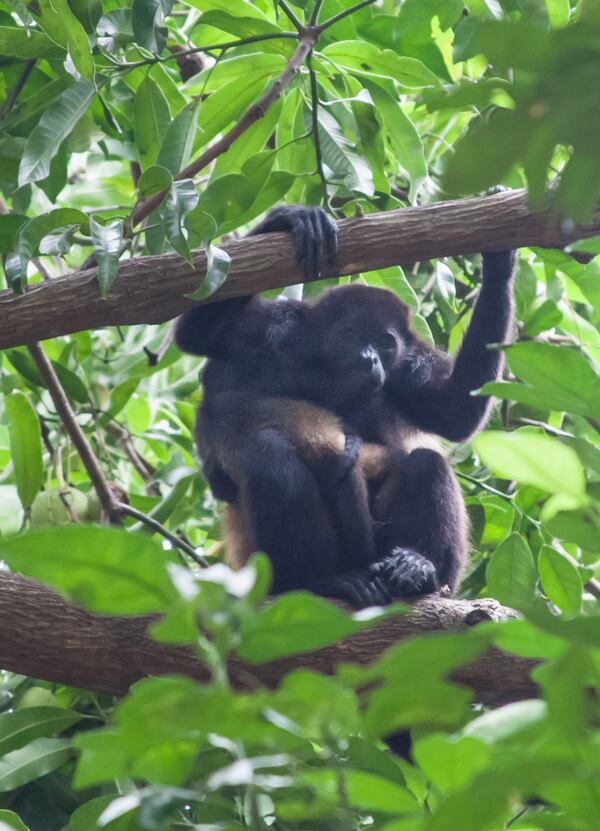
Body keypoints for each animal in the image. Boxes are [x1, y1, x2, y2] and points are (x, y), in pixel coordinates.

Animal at [175, 205, 516, 608]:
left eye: (385, 342)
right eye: (354, 334)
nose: (372, 359)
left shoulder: (407, 365)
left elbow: (455, 412)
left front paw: (499, 260)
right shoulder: (273, 334)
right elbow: (196, 335)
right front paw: (289, 219)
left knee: (426, 464)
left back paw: (420, 572)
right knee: (273, 465)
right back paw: (316, 582)